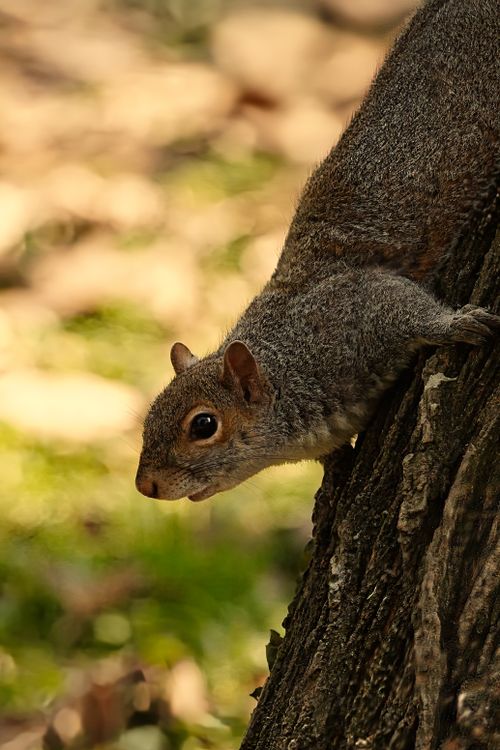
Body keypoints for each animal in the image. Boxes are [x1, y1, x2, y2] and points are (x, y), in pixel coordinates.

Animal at [136, 0, 500, 502]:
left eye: (203, 425)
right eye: (149, 416)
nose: (145, 485)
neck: (291, 359)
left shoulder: (355, 310)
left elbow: (405, 305)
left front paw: (457, 324)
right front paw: (335, 466)